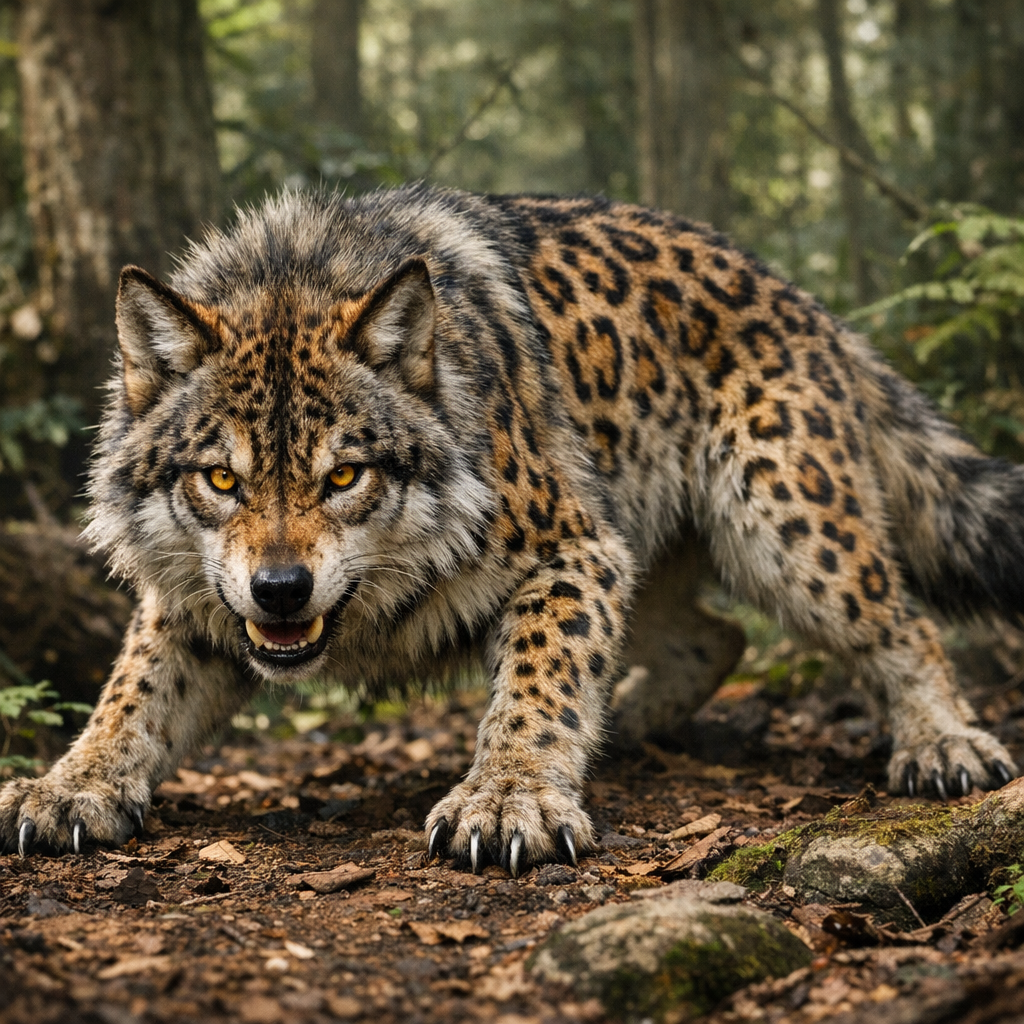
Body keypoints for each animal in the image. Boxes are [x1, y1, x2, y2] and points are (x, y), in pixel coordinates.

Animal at [2, 184, 1021, 875]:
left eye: (343, 477)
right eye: (221, 479)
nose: (280, 591)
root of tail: (808, 303)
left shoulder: (571, 549)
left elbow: (539, 680)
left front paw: (509, 798)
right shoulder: (190, 605)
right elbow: (130, 697)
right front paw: (69, 786)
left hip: (785, 524)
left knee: (904, 625)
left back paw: (944, 748)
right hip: (658, 543)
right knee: (713, 639)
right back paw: (628, 727)